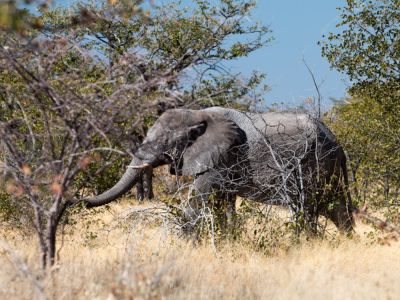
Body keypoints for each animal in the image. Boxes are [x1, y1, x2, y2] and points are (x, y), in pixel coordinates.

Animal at [83, 106, 354, 233]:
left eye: (164, 141)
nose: (80, 200)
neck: (197, 114)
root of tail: (339, 143)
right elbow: (221, 200)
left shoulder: (225, 155)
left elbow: (200, 195)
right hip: (327, 165)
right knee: (335, 207)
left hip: (312, 161)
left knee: (306, 205)